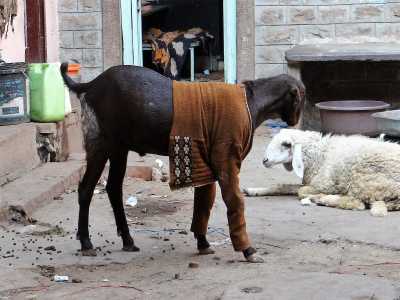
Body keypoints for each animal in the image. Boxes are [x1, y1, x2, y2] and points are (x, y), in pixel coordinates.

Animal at [245, 128, 400, 216]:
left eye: (286, 144)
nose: (264, 160)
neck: (319, 155)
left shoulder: (325, 185)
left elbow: (300, 191)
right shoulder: (311, 182)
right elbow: (282, 186)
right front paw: (253, 190)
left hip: (365, 180)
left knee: (356, 203)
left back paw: (322, 199)